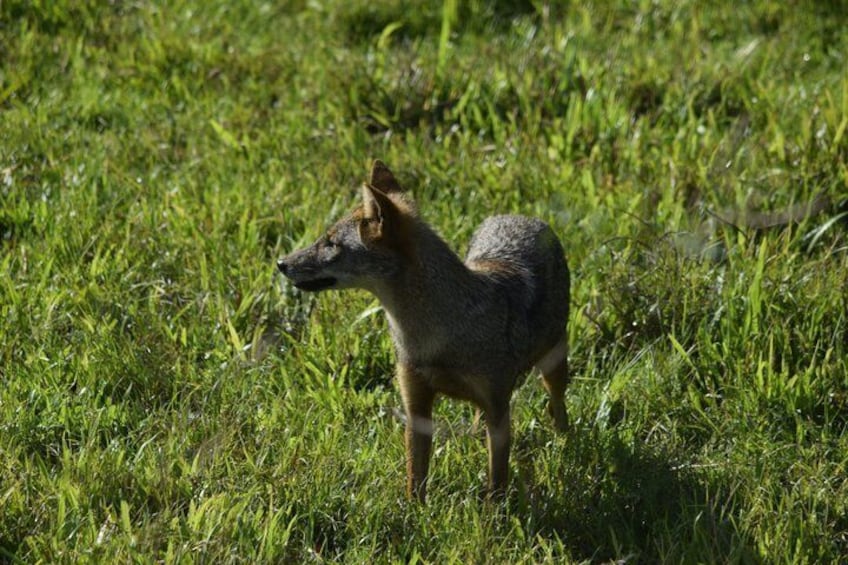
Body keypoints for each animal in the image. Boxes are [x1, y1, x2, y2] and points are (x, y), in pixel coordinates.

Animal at [277, 160, 570, 501]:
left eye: (331, 243)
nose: (281, 263)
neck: (434, 336)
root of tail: (521, 217)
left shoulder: (498, 409)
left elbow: (496, 482)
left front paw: (494, 513)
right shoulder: (415, 407)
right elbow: (415, 479)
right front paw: (413, 512)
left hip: (553, 368)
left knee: (558, 409)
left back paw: (566, 446)